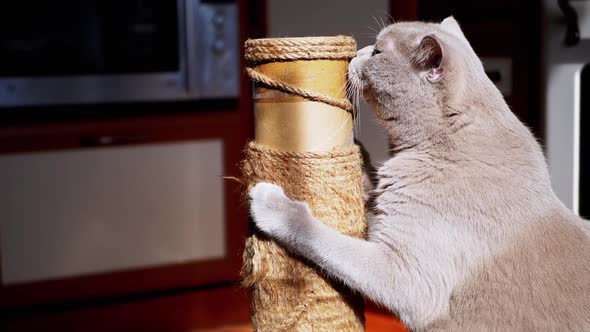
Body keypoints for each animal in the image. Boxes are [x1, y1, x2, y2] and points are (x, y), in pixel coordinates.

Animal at [250, 16, 590, 330]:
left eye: (378, 52)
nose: (357, 53)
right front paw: (357, 154)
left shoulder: (408, 276)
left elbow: (319, 237)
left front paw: (270, 204)